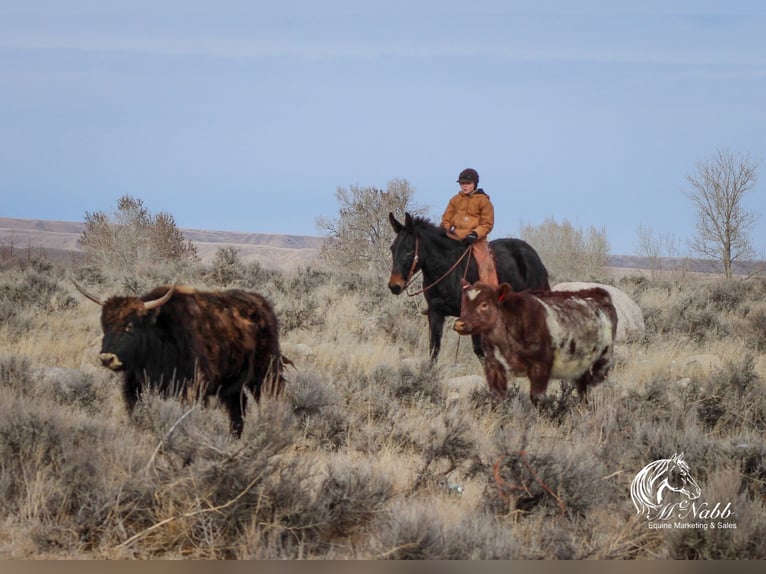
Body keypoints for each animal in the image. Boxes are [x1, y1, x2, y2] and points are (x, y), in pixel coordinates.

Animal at [73, 284, 290, 440]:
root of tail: (263, 305)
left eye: (130, 325)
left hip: (266, 375)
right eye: (105, 325)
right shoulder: (136, 387)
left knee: (271, 400)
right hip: (233, 386)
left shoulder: (192, 389)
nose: (107, 358)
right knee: (238, 409)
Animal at [390, 214, 552, 362]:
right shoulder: (435, 313)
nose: (394, 286)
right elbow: (434, 350)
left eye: (409, 250)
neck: (449, 270)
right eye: (392, 249)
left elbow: (480, 351)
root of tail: (535, 258)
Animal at [452, 280, 620, 404]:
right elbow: (497, 397)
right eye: (464, 303)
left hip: (604, 360)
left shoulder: (540, 366)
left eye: (484, 304)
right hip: (580, 368)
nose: (459, 324)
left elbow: (537, 398)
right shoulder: (493, 366)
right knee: (583, 388)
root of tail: (597, 293)